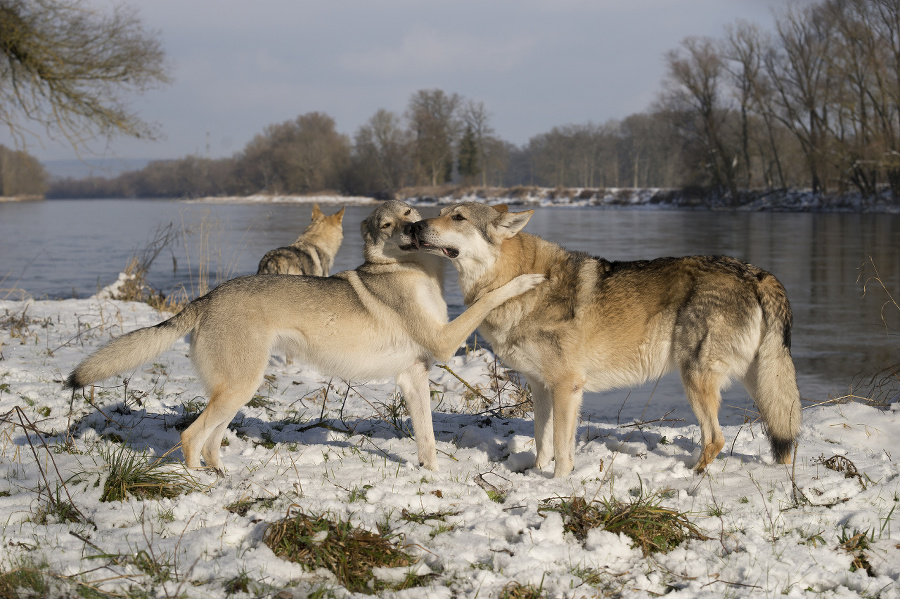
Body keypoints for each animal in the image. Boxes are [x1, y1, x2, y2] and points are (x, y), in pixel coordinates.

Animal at [67, 200, 540, 474]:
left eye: (409, 216)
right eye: (388, 225)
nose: (415, 230)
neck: (414, 271)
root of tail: (208, 296)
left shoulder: (414, 377)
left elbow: (426, 439)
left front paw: (431, 475)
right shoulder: (444, 342)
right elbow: (490, 297)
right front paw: (526, 281)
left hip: (237, 391)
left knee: (211, 440)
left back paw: (223, 477)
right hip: (239, 386)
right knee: (190, 437)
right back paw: (201, 486)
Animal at [408, 204, 800, 480]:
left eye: (457, 217)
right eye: (441, 212)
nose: (414, 226)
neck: (518, 283)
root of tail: (758, 273)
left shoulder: (567, 386)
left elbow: (562, 447)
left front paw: (558, 483)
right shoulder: (541, 387)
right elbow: (543, 442)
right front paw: (536, 476)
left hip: (696, 379)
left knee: (716, 438)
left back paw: (689, 476)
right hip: (759, 383)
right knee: (782, 437)